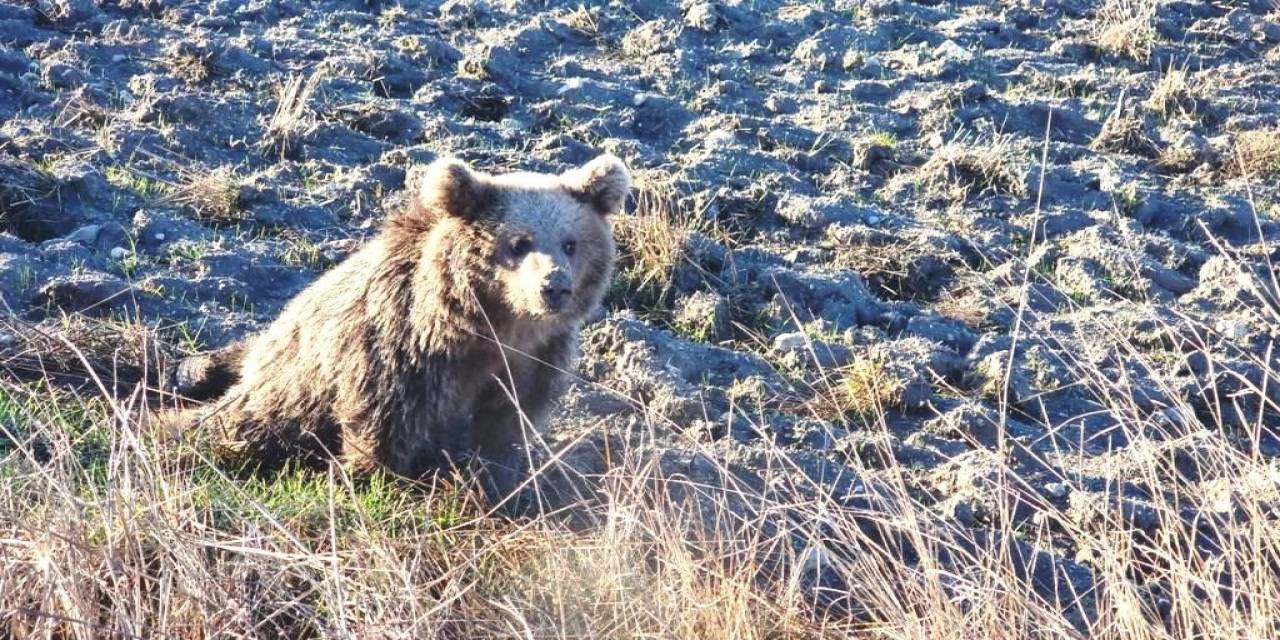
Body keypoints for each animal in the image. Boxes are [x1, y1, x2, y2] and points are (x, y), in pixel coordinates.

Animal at [170, 152, 629, 491]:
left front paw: (497, 485)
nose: (554, 287)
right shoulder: (404, 350)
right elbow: (384, 424)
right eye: (518, 243)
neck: (496, 328)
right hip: (289, 390)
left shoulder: (533, 364)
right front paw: (365, 479)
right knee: (237, 425)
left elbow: (503, 432)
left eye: (571, 243)